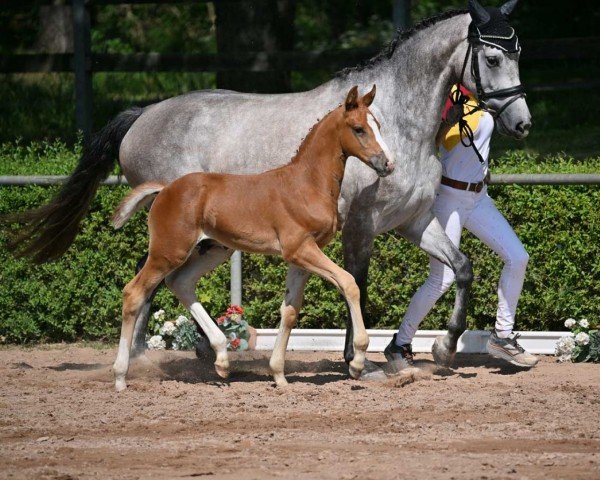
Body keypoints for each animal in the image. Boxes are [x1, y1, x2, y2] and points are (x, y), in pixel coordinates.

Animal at [111, 84, 394, 388]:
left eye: (378, 126)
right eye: (359, 129)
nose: (388, 163)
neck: (307, 183)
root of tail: (164, 189)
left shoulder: (301, 256)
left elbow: (290, 310)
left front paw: (279, 374)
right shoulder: (300, 249)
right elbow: (349, 283)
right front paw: (358, 361)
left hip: (213, 249)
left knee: (181, 283)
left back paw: (222, 360)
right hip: (169, 251)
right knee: (134, 293)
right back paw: (120, 377)